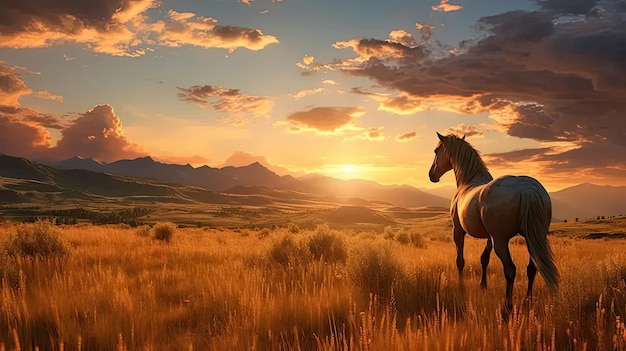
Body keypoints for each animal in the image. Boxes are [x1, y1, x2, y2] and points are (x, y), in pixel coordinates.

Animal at [426, 133, 560, 314]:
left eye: (436, 151)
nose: (431, 175)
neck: (468, 181)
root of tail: (528, 189)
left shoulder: (458, 231)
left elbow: (460, 260)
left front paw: (461, 288)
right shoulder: (489, 237)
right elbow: (484, 259)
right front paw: (483, 285)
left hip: (501, 242)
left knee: (510, 270)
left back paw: (507, 307)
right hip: (532, 238)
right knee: (532, 268)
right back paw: (527, 302)